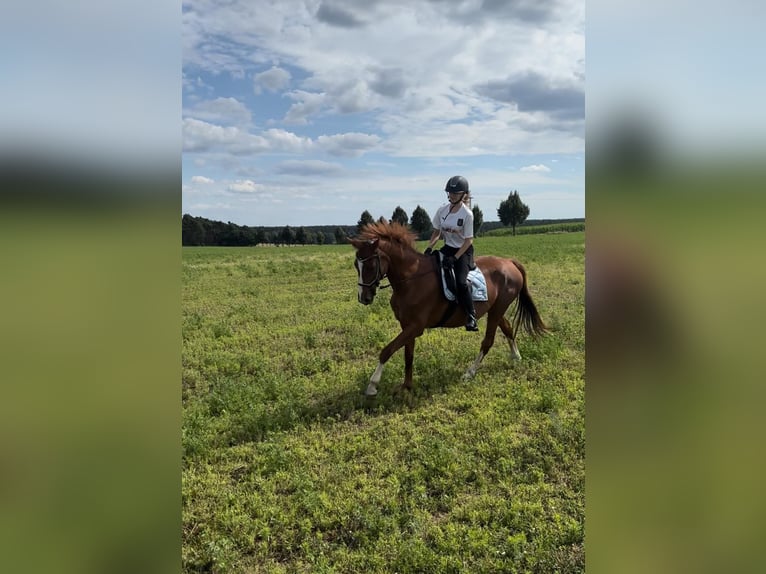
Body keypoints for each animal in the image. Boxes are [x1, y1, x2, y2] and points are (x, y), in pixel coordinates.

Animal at [352, 220, 548, 396]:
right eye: (356, 265)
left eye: (370, 265)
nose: (364, 298)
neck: (411, 280)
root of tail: (509, 262)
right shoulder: (406, 325)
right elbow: (408, 355)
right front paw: (407, 386)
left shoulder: (416, 326)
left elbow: (387, 351)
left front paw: (372, 385)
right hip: (495, 310)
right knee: (507, 328)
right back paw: (516, 357)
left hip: (497, 309)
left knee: (488, 341)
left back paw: (469, 372)